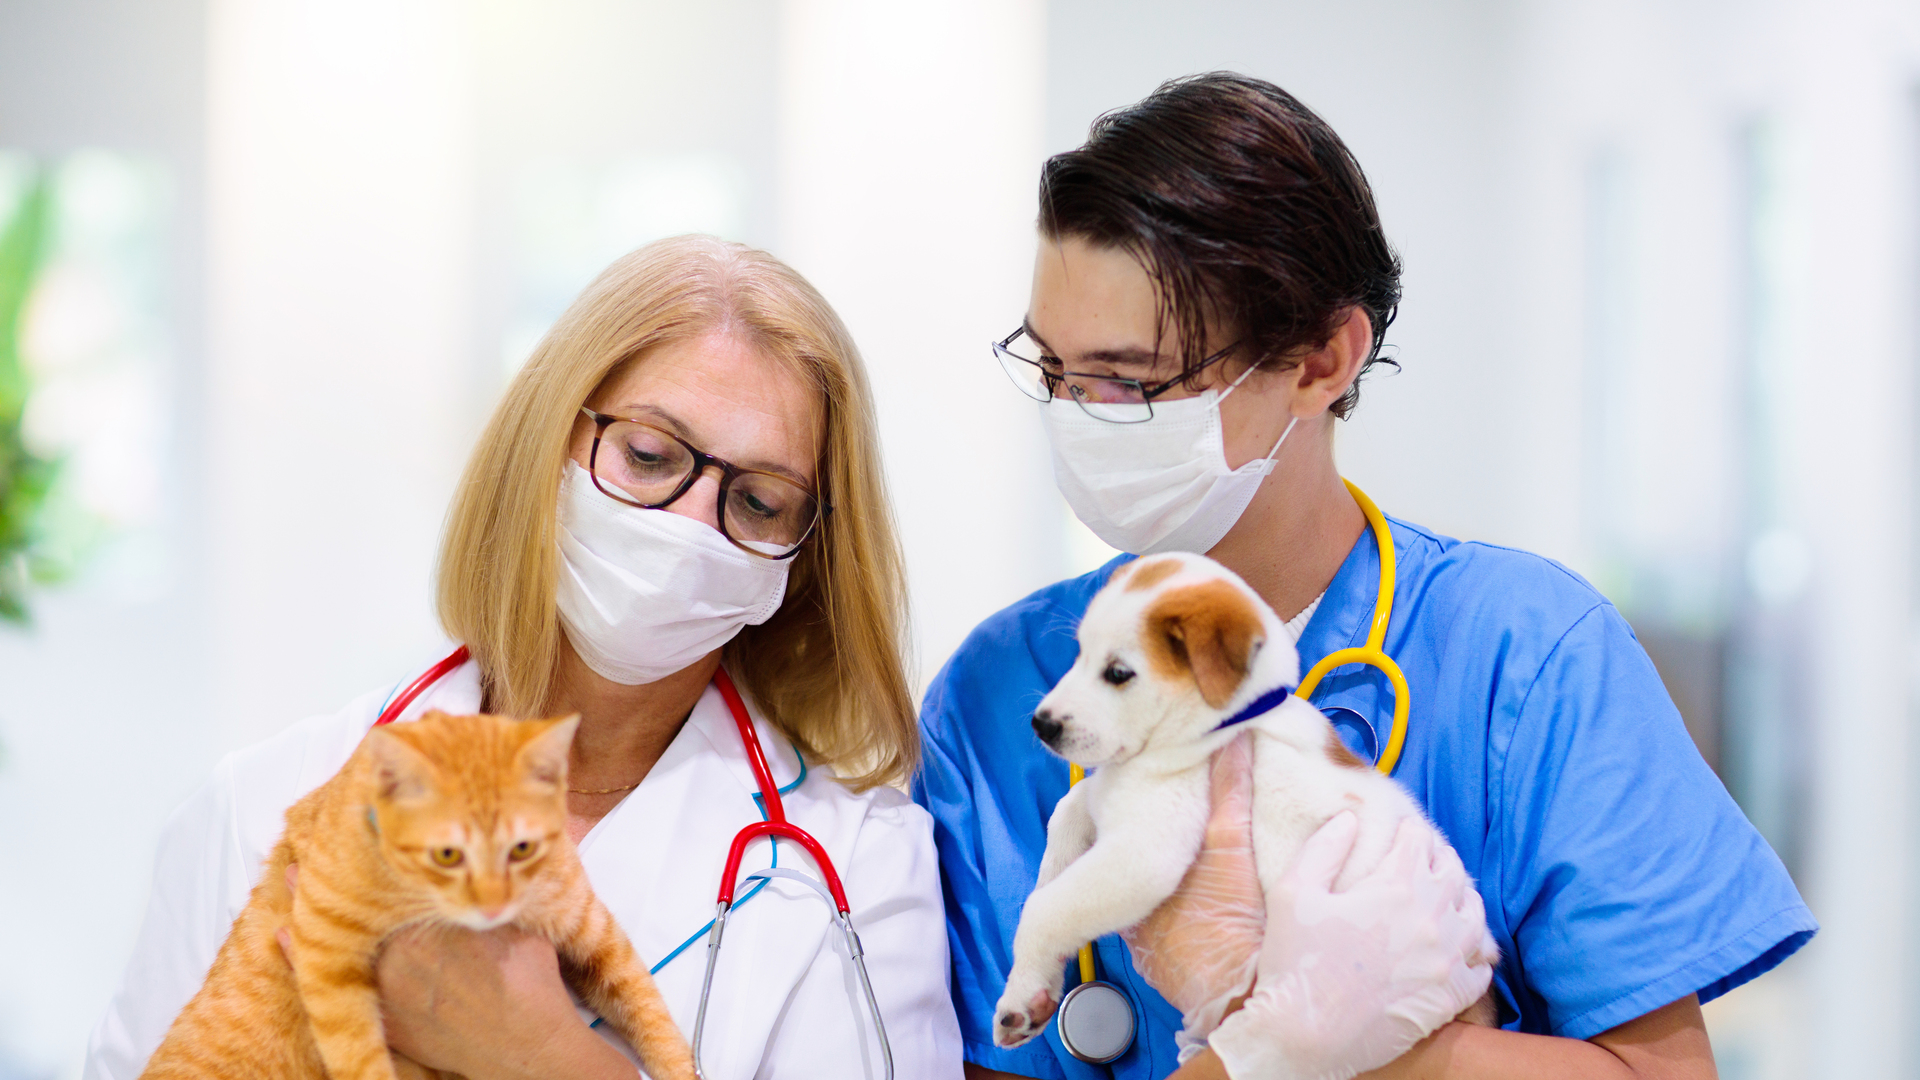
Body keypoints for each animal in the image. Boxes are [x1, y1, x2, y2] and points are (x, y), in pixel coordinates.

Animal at [140, 707, 698, 1076]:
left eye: (520, 848)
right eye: (447, 855)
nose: (492, 904)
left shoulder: (594, 932)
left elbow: (651, 1013)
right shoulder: (325, 953)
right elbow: (360, 1059)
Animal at [998, 549, 1489, 1037]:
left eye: (1118, 673)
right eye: (1079, 653)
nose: (1040, 724)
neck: (1224, 722)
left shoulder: (1147, 850)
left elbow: (1045, 909)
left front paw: (1020, 991)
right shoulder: (1109, 794)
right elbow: (1066, 816)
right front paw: (1032, 982)